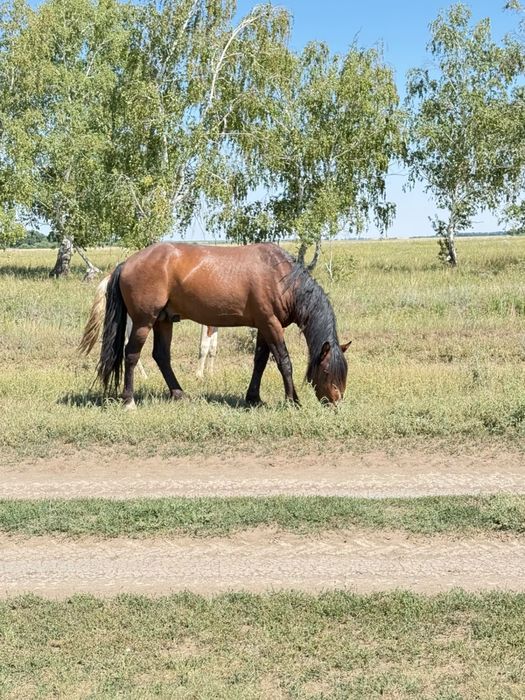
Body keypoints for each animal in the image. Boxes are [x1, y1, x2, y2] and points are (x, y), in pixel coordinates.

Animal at [79, 242, 350, 408]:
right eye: (327, 372)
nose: (335, 402)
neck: (281, 277)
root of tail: (126, 263)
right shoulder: (271, 324)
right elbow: (284, 362)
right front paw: (293, 400)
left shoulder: (264, 326)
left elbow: (260, 362)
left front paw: (254, 398)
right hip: (144, 321)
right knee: (132, 355)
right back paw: (129, 401)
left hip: (164, 321)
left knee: (162, 356)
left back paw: (179, 394)